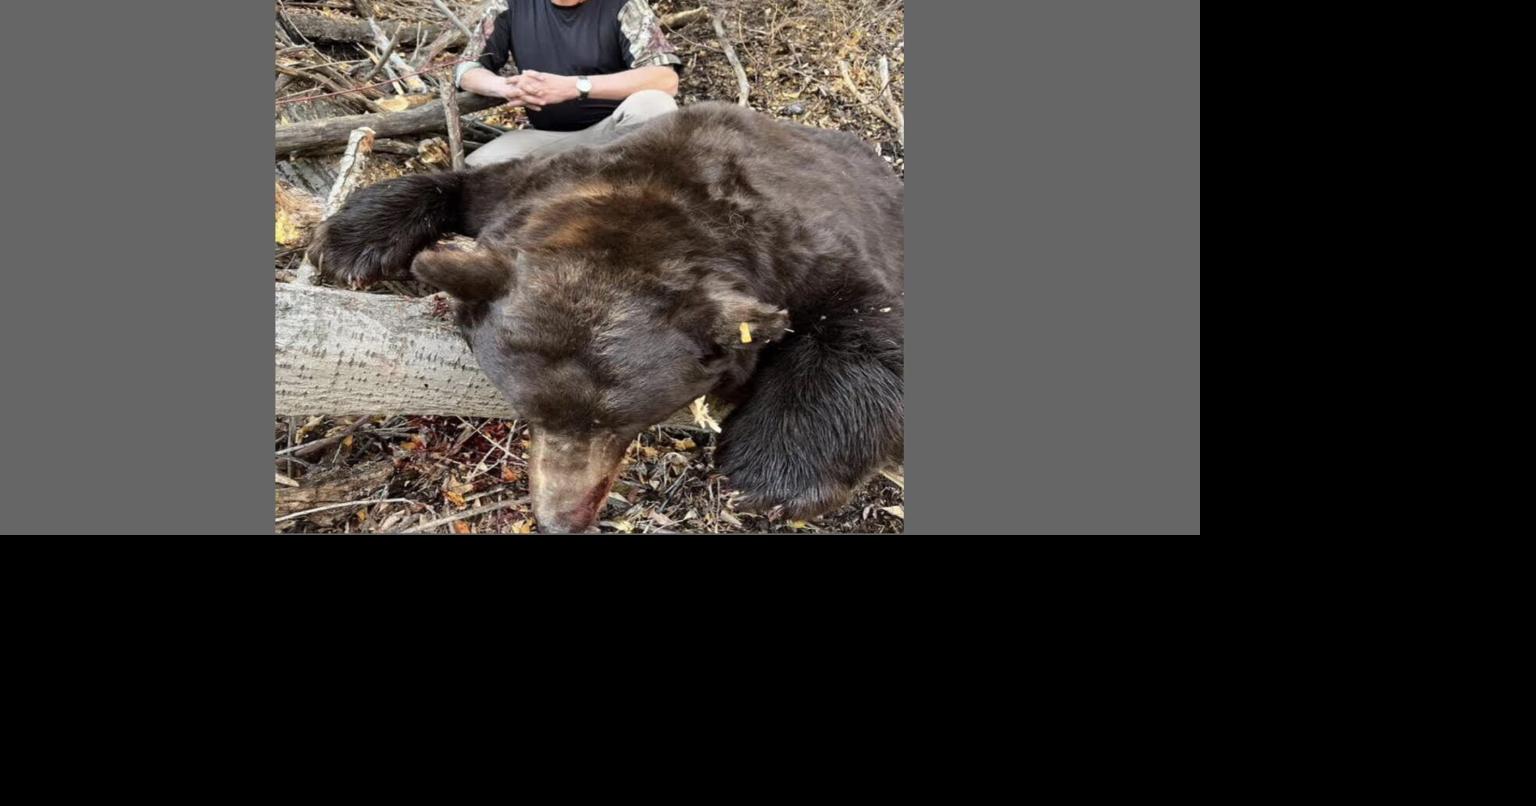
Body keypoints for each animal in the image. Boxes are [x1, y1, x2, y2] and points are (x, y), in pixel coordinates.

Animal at [307, 101, 903, 533]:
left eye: (616, 423)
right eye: (528, 412)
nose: (559, 520)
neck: (655, 199)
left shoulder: (805, 247)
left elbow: (868, 322)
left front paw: (773, 474)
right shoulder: (539, 183)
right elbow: (464, 184)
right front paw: (350, 243)